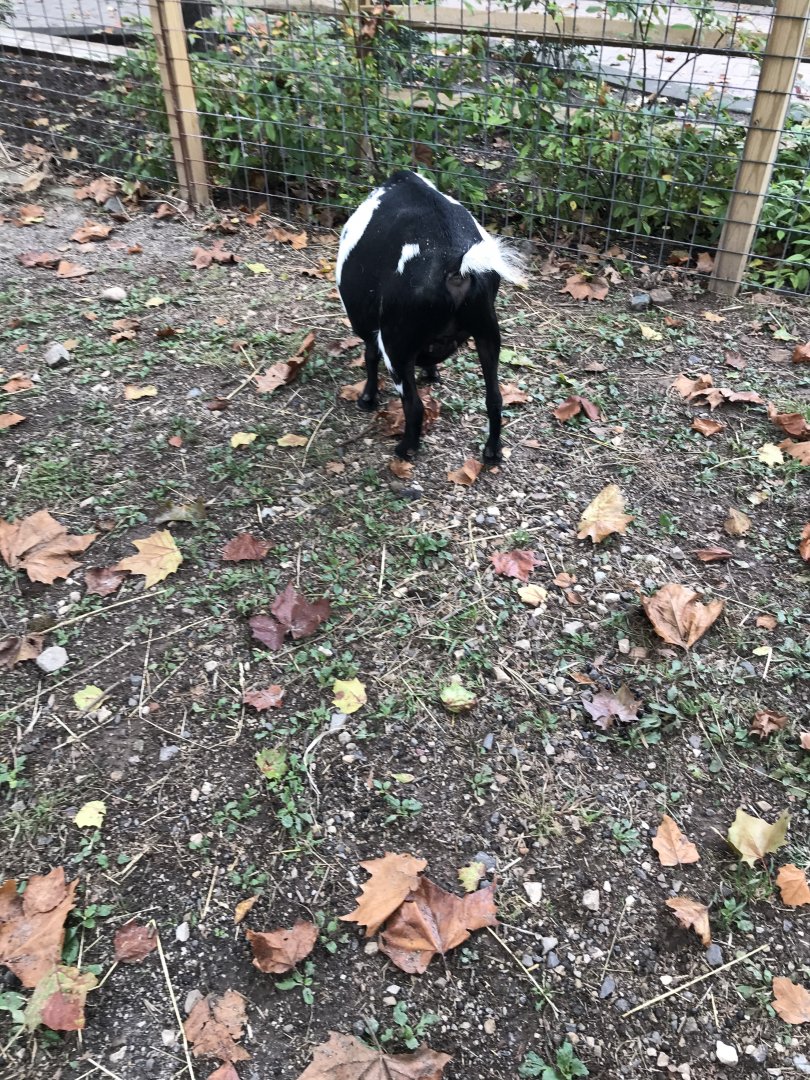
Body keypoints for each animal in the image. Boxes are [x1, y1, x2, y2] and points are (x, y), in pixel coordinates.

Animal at [336, 170, 526, 463]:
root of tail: (456, 266)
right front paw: (432, 373)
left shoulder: (369, 326)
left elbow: (369, 357)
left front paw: (367, 399)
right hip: (488, 334)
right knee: (494, 399)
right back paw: (492, 452)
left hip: (396, 346)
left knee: (413, 406)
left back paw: (405, 449)